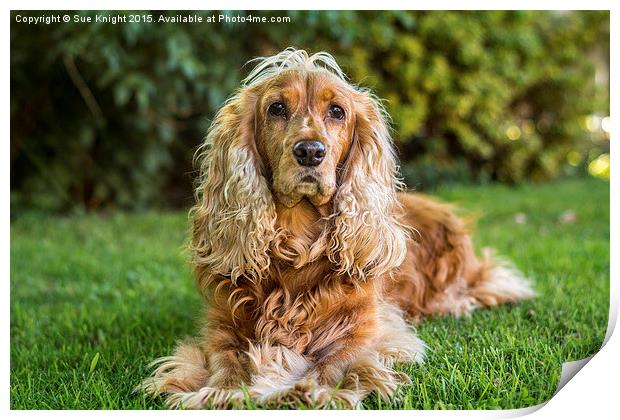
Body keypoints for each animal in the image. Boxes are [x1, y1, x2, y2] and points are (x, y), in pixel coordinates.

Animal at [138, 47, 536, 408]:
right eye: (276, 108)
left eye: (337, 112)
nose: (310, 151)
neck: (297, 242)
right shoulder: (222, 325)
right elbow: (228, 361)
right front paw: (223, 392)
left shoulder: (370, 327)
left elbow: (337, 361)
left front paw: (312, 390)